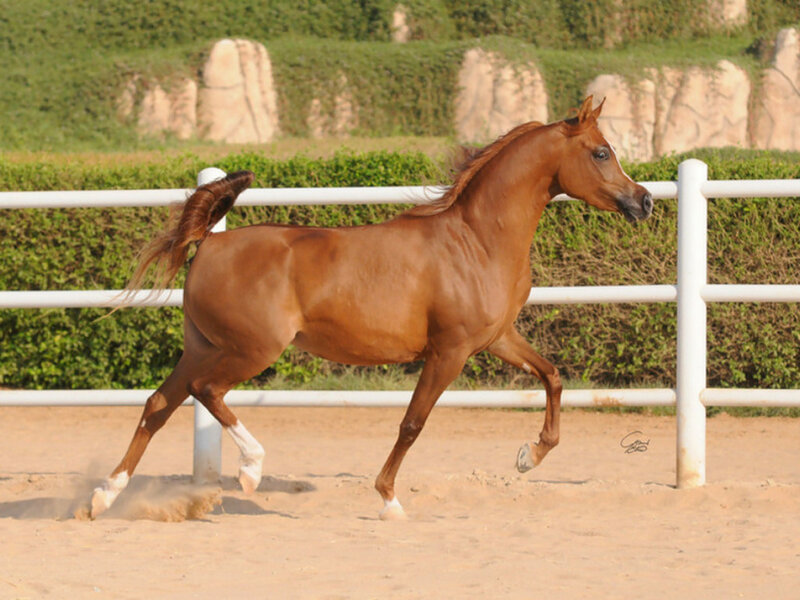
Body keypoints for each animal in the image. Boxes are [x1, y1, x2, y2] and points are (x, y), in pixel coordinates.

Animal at [89, 96, 652, 520]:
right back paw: (250, 469)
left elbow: (552, 376)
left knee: (159, 404)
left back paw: (103, 497)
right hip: (250, 349)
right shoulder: (448, 352)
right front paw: (389, 500)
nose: (643, 201)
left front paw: (527, 458)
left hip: (203, 347)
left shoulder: (495, 339)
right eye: (601, 153)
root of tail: (208, 243)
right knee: (206, 392)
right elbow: (412, 423)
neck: (475, 241)